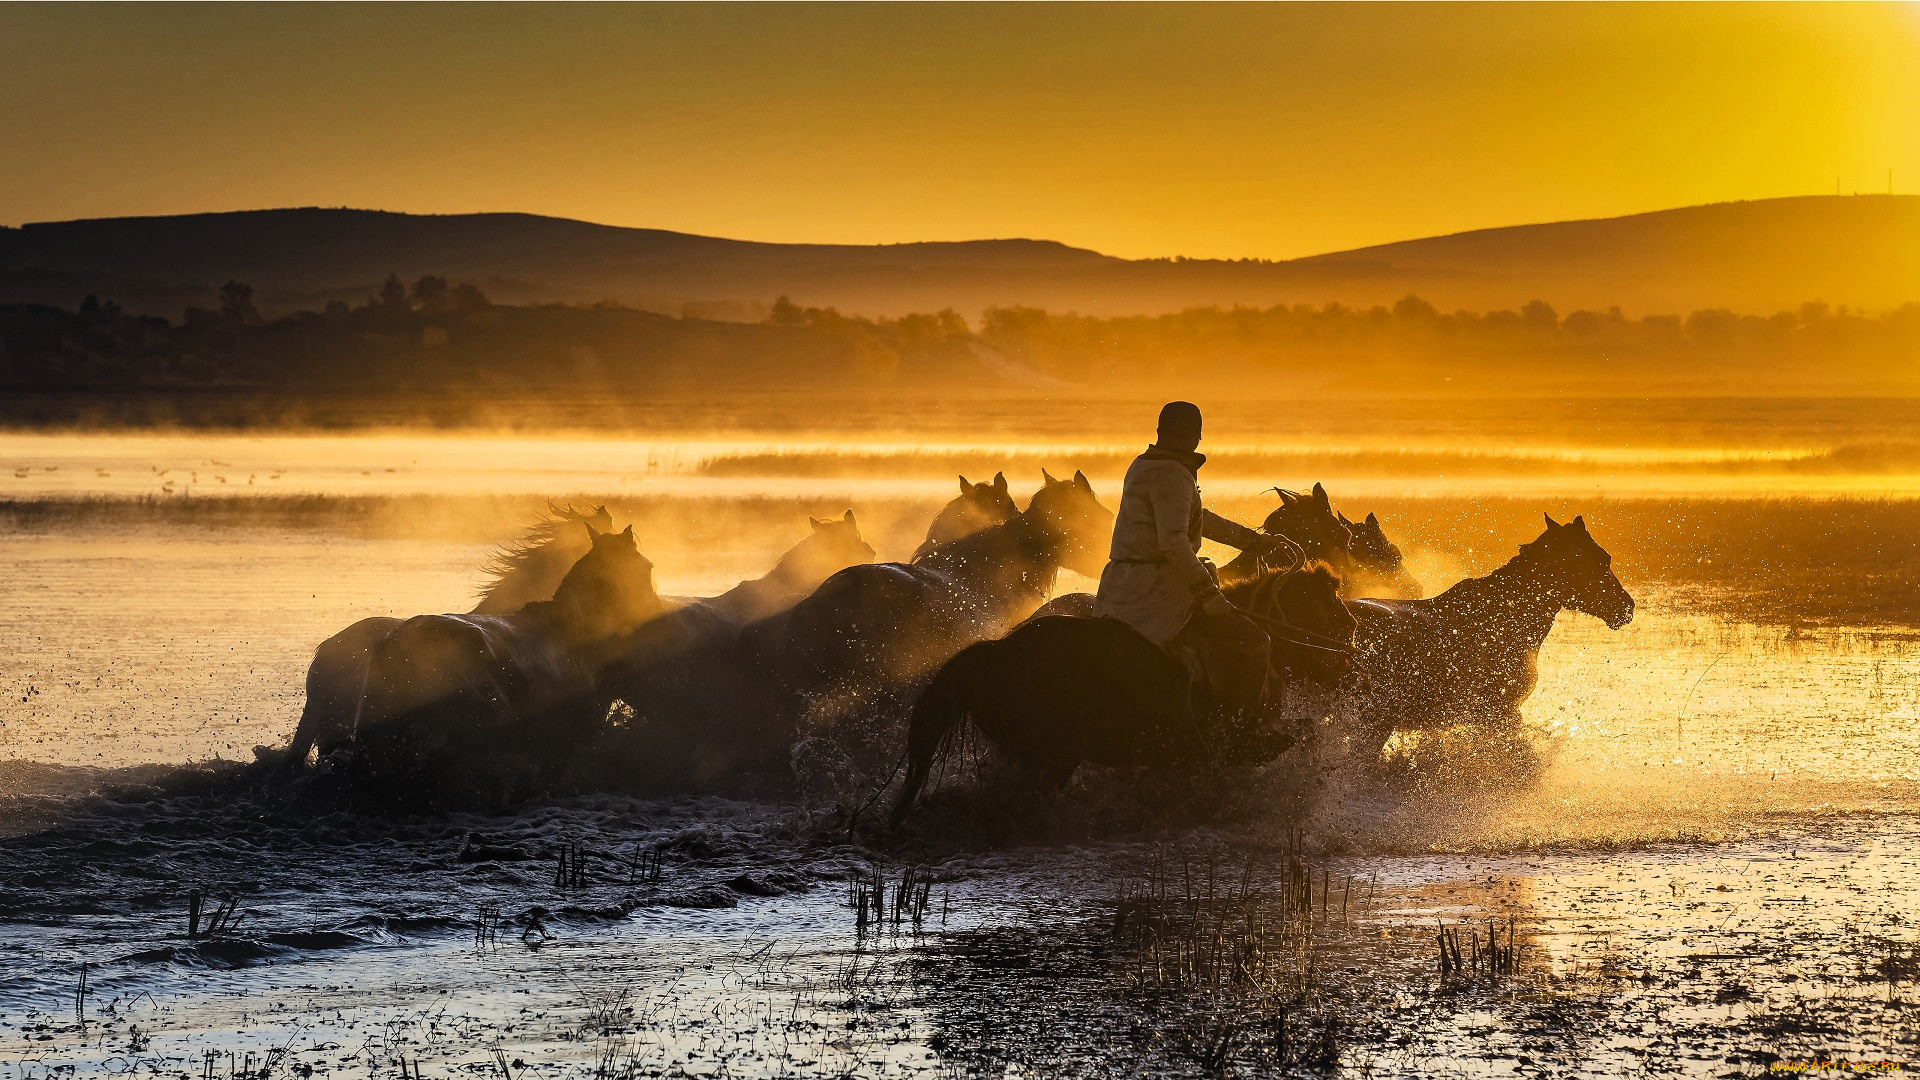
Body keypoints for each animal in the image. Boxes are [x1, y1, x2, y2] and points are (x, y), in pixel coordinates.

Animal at [890, 564, 1359, 822]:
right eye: (1332, 613)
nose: (1350, 665)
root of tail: (996, 652)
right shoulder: (1246, 744)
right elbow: (1306, 732)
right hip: (1052, 759)